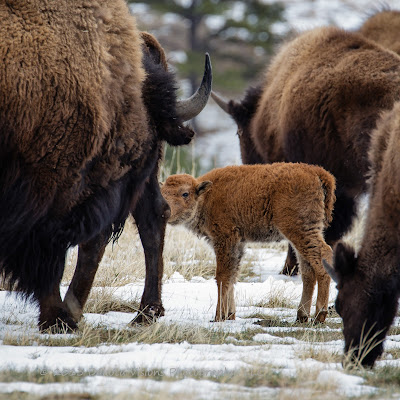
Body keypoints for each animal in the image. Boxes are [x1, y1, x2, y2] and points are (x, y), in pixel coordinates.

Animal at [162, 162, 334, 322]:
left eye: (185, 193)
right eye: (162, 194)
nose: (166, 212)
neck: (206, 197)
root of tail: (317, 172)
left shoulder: (225, 239)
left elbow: (222, 276)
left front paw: (219, 316)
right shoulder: (237, 244)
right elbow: (232, 276)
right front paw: (230, 315)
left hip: (299, 230)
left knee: (323, 255)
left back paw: (320, 315)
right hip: (303, 234)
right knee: (308, 272)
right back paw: (302, 316)